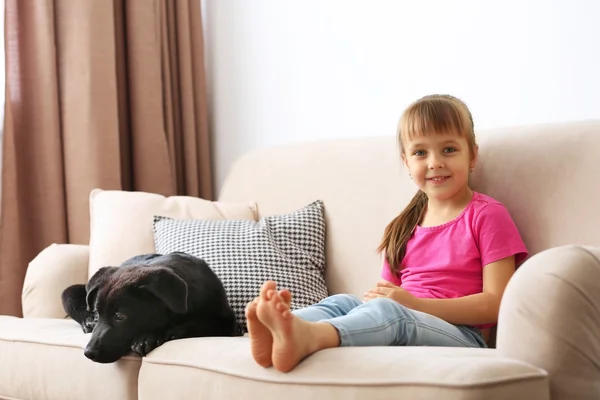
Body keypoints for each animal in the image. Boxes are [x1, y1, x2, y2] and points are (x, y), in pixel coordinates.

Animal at [61, 253, 239, 362]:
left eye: (120, 316)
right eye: (97, 313)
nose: (88, 353)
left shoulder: (228, 323)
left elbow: (198, 323)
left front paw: (151, 337)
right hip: (67, 292)